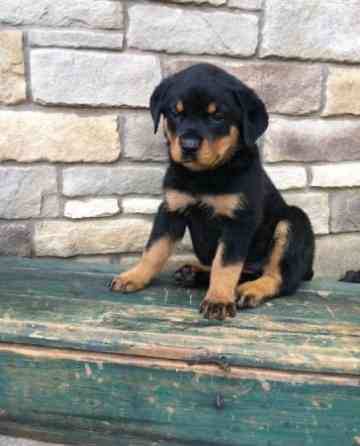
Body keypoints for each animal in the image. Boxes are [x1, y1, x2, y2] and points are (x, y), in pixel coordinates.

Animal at [110, 63, 316, 320]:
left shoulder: (239, 219)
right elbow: (154, 249)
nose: (188, 146)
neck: (204, 175)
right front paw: (134, 276)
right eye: (176, 113)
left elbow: (225, 264)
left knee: (280, 277)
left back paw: (250, 289)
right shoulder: (171, 208)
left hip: (293, 222)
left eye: (217, 116)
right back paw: (194, 272)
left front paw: (218, 300)